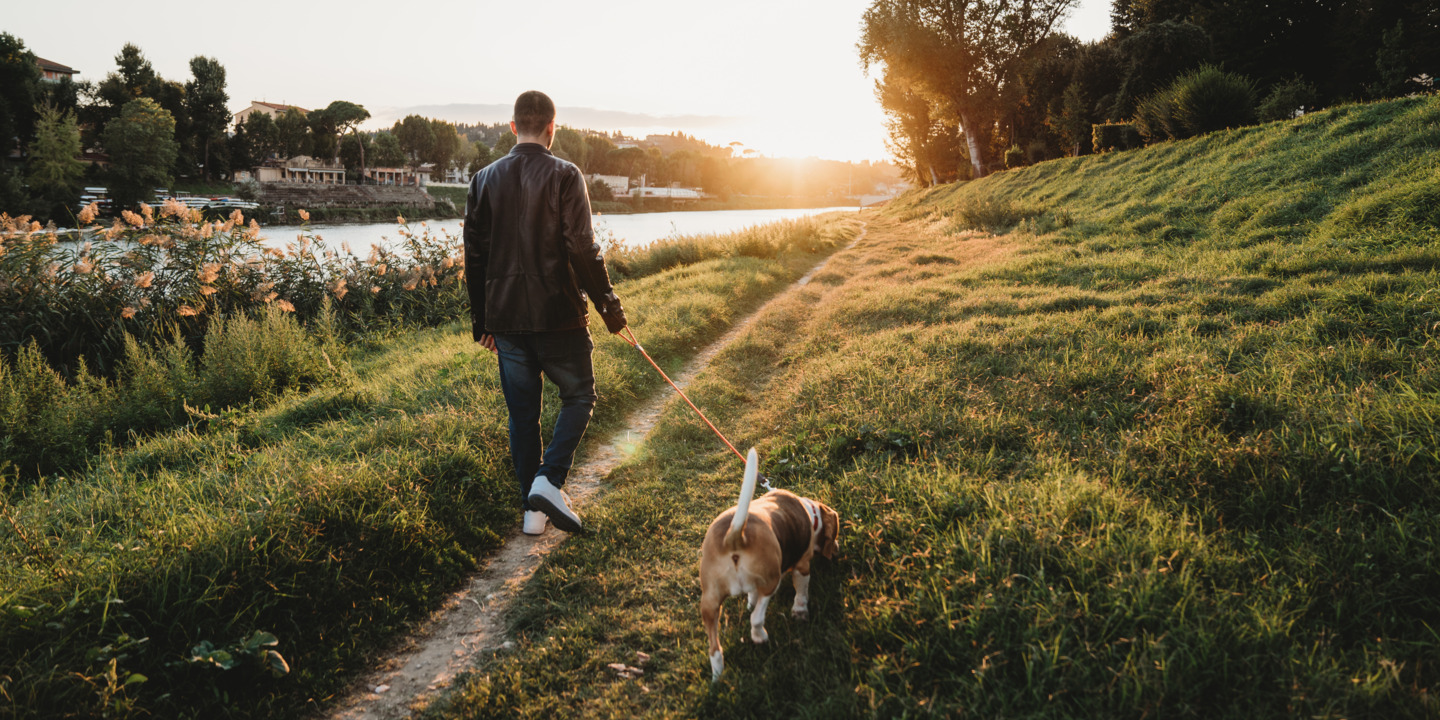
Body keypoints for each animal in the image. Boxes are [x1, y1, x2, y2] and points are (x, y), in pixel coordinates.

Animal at [694, 449, 835, 679]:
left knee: (714, 649)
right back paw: (760, 636)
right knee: (757, 618)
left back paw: (718, 677)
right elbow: (801, 592)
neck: (809, 511)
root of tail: (735, 537)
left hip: (710, 601)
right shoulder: (802, 566)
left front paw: (750, 601)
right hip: (771, 581)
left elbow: (751, 596)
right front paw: (800, 610)